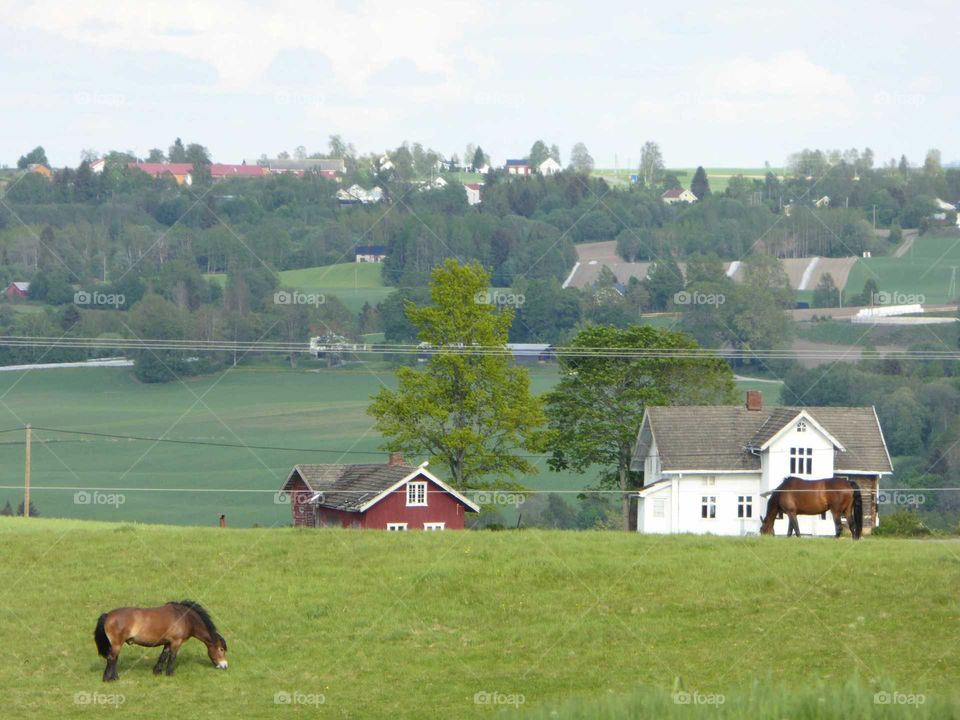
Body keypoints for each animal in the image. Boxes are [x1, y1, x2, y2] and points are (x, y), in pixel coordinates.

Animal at [94, 600, 227, 681]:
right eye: (221, 649)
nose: (225, 666)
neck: (185, 618)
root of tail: (108, 615)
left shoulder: (168, 642)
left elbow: (163, 656)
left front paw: (157, 671)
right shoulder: (176, 642)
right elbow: (172, 657)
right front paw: (170, 673)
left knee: (114, 659)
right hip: (117, 644)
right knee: (112, 659)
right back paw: (109, 678)